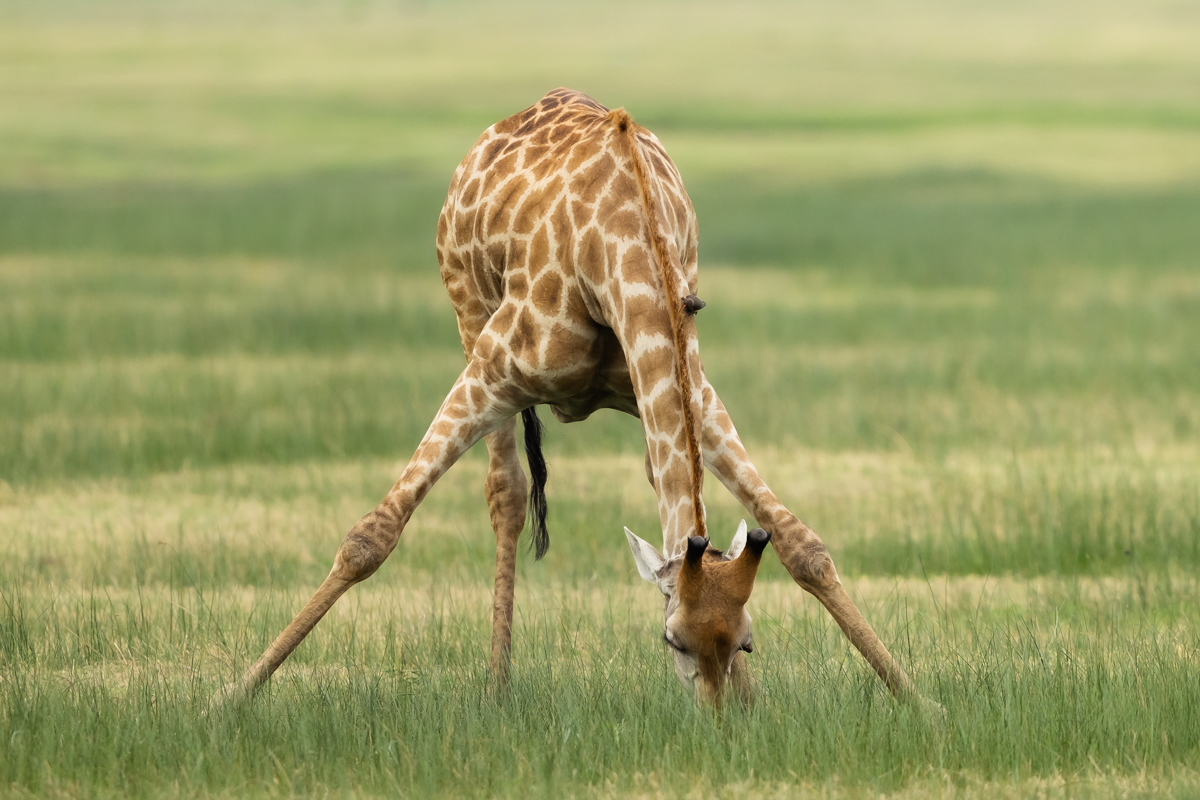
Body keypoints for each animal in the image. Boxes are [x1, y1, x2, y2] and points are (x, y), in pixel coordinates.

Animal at [218, 88, 921, 707]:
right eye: (672, 641)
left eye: (744, 643)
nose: (721, 721)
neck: (622, 245)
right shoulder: (495, 369)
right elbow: (372, 535)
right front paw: (229, 698)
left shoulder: (694, 387)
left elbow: (804, 547)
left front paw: (919, 702)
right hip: (468, 318)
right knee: (505, 495)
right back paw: (497, 691)